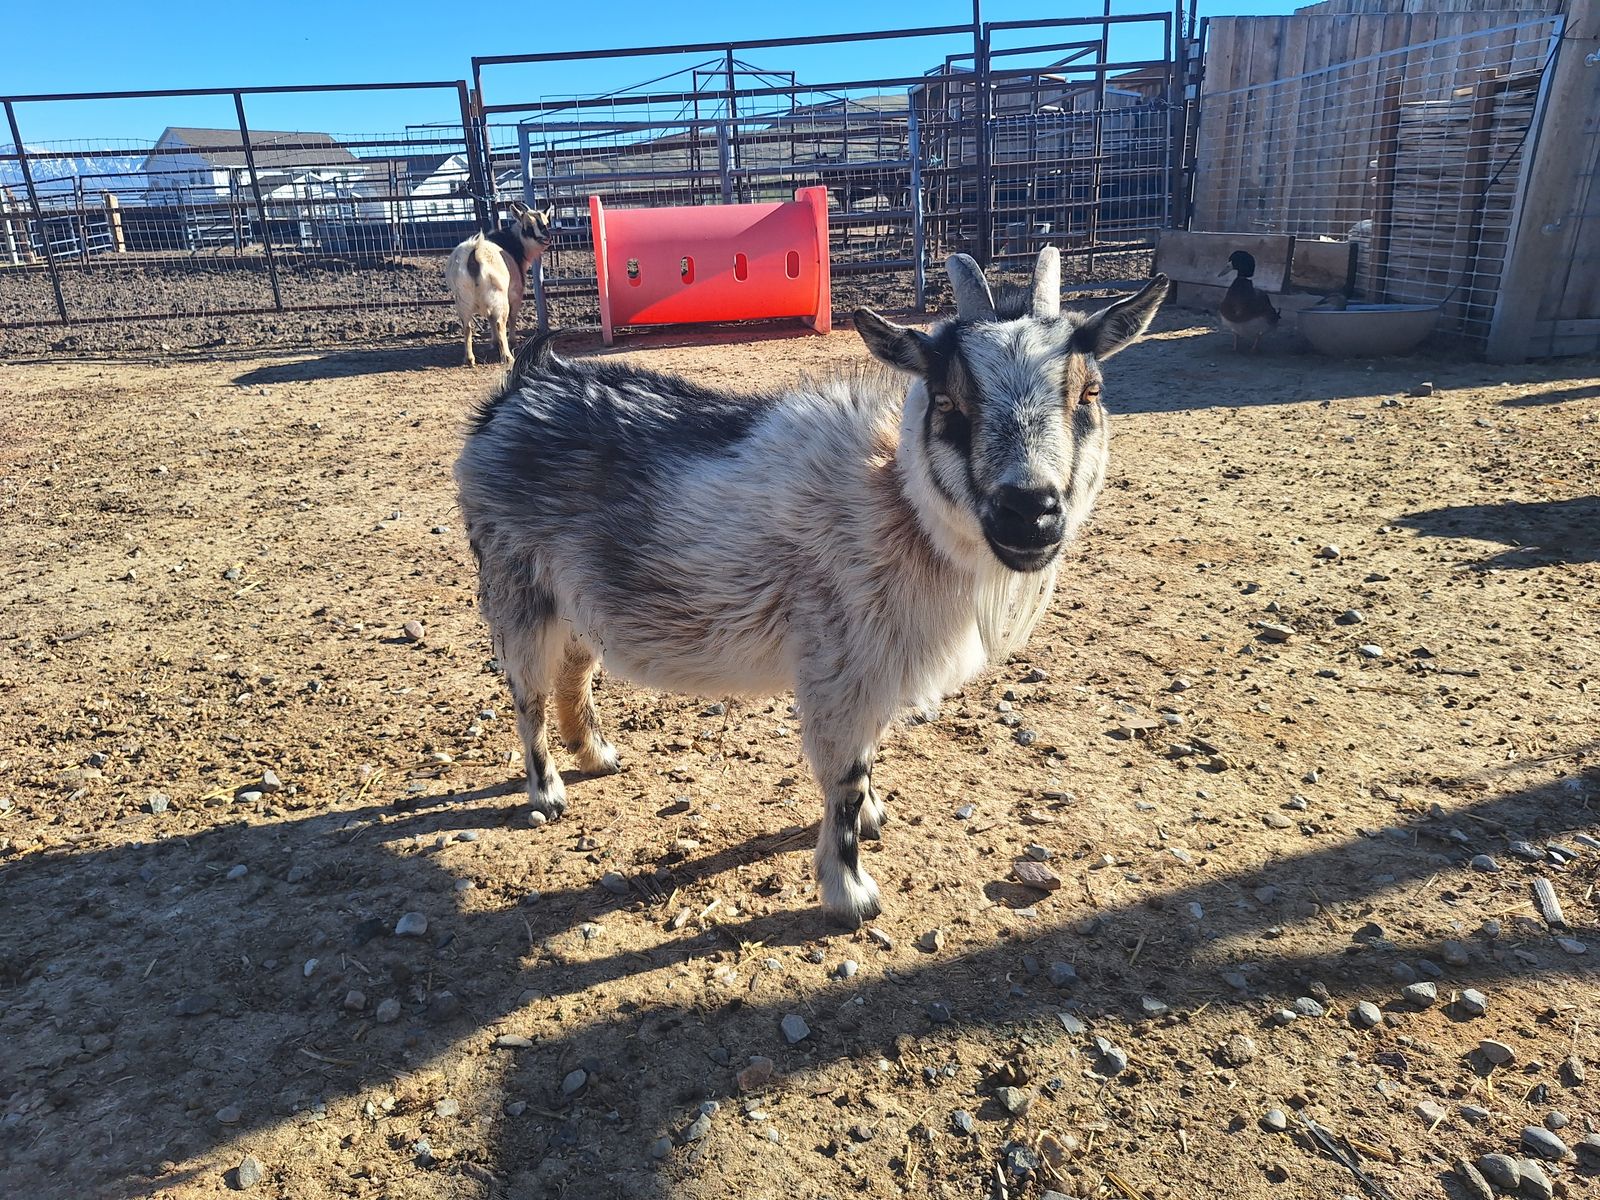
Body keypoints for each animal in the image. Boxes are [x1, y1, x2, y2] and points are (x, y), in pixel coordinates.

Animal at [444, 201, 553, 367]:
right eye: (528, 226)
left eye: (546, 222)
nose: (546, 238)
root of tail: (474, 253)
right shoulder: (515, 293)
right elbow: (512, 317)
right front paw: (513, 342)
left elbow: (489, 318)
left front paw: (494, 342)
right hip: (499, 297)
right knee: (500, 323)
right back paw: (507, 356)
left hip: (462, 299)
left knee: (467, 327)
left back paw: (469, 359)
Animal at [454, 248, 1169, 926]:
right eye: (948, 401)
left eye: (1090, 394)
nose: (1029, 511)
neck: (900, 501)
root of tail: (525, 385)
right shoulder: (841, 662)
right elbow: (844, 776)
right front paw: (850, 892)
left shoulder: (871, 666)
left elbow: (867, 759)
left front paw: (875, 816)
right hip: (516, 583)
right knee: (528, 691)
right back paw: (546, 791)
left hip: (579, 596)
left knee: (573, 671)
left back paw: (597, 754)